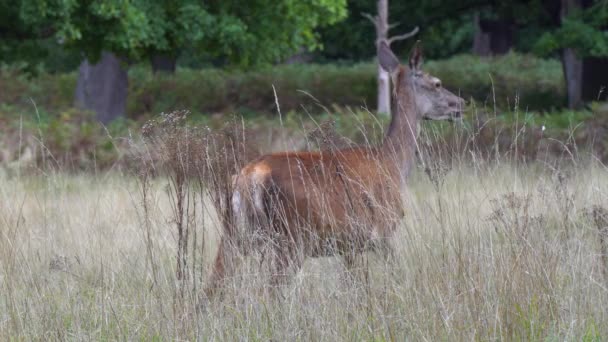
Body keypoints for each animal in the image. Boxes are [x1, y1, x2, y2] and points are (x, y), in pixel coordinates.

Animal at [205, 42, 466, 294]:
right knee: (270, 289)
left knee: (212, 286)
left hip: (234, 232)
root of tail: (249, 178)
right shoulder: (379, 231)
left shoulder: (349, 245)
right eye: (437, 83)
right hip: (293, 236)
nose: (461, 104)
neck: (393, 163)